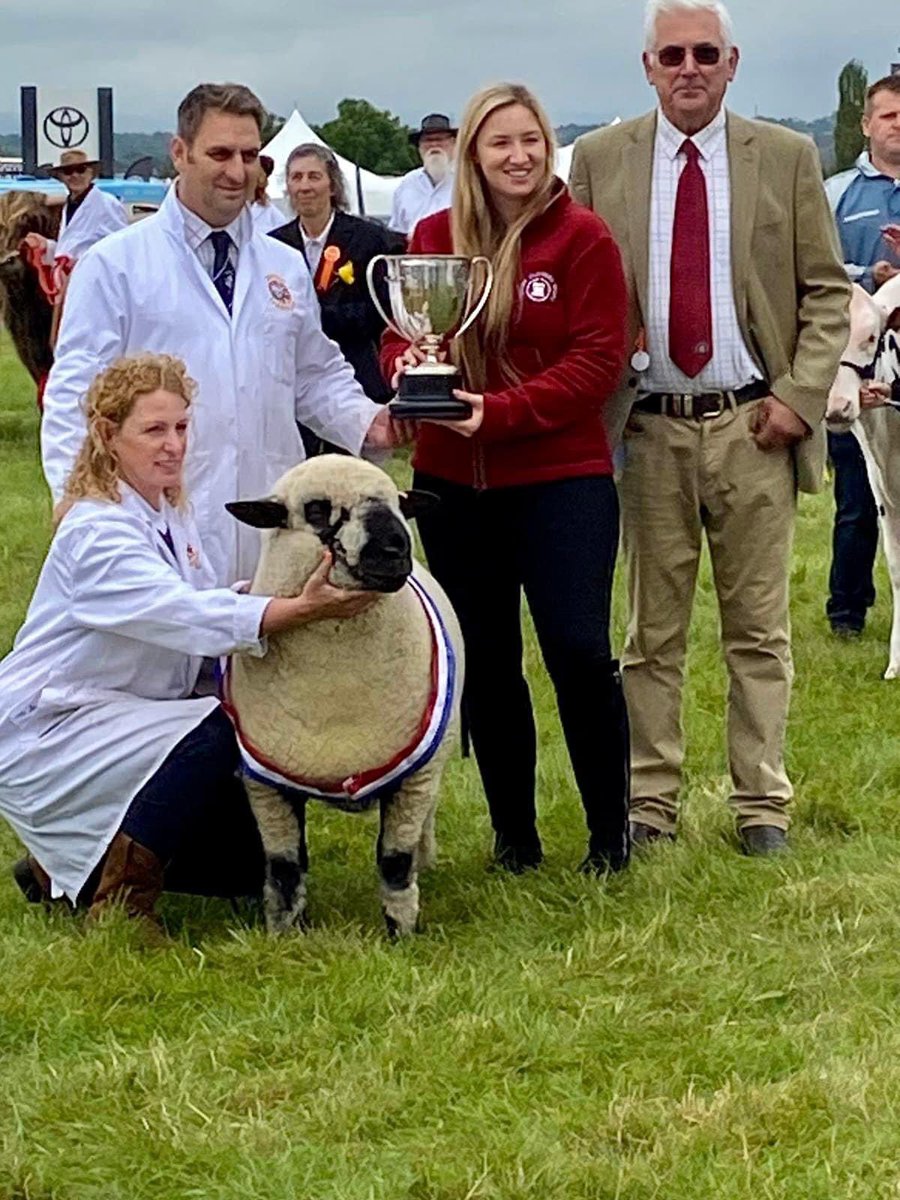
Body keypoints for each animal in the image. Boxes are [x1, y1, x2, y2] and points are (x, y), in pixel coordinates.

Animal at [224, 453, 465, 931]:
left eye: (398, 504)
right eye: (317, 510)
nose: (395, 551)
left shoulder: (414, 778)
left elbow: (394, 861)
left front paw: (402, 931)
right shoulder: (265, 784)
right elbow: (284, 868)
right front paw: (285, 932)